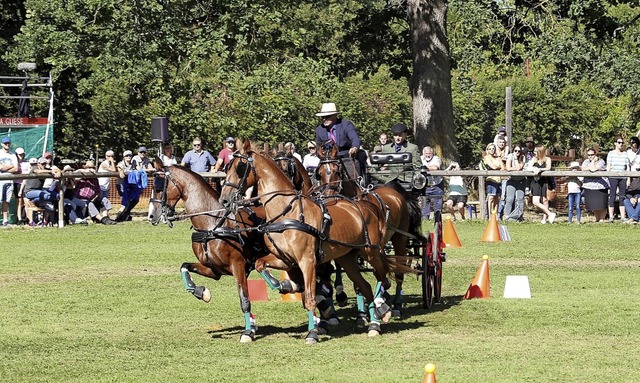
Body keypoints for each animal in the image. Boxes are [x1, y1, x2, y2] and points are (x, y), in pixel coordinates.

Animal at [220, 140, 408, 344]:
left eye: (240, 168)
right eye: (227, 167)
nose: (224, 199)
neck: (288, 211)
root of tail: (367, 204)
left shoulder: (308, 261)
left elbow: (310, 297)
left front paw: (313, 332)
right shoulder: (284, 259)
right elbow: (260, 264)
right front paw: (286, 285)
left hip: (372, 251)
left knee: (383, 274)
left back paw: (384, 307)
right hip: (347, 258)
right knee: (365, 285)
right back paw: (374, 323)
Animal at [316, 144, 424, 316]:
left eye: (336, 171)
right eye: (318, 174)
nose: (327, 197)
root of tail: (393, 189)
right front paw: (363, 310)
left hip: (399, 238)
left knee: (399, 270)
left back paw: (397, 305)